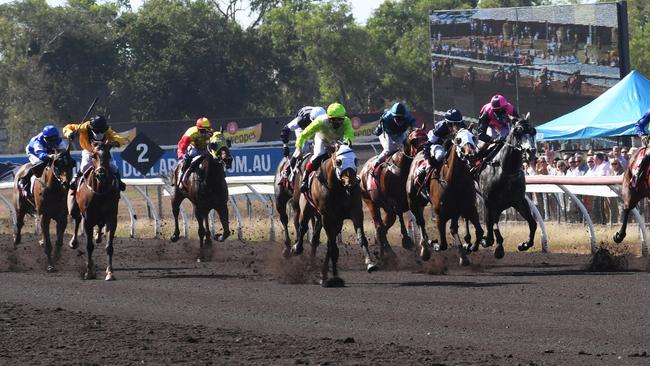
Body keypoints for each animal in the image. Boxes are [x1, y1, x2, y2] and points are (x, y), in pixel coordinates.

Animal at [69, 142, 121, 280]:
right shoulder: (87, 219)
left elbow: (109, 246)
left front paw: (110, 272)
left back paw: (98, 236)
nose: (101, 174)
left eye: (108, 155)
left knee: (99, 226)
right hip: (75, 208)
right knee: (76, 219)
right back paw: (74, 242)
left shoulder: (111, 217)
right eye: (94, 156)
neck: (100, 191)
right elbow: (89, 246)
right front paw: (89, 272)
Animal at [292, 143, 378, 286]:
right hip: (307, 208)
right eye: (339, 162)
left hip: (330, 220)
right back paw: (297, 249)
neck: (338, 189)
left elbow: (360, 238)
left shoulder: (355, 212)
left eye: (355, 160)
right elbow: (333, 247)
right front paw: (333, 277)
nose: (352, 183)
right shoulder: (327, 217)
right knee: (303, 227)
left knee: (316, 239)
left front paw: (370, 263)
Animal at [356, 129, 428, 260]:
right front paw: (407, 240)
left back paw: (384, 253)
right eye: (414, 140)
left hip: (388, 211)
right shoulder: (393, 200)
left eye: (426, 137)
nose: (423, 153)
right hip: (370, 202)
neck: (401, 169)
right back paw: (388, 254)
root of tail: (362, 171)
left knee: (382, 229)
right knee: (380, 227)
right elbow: (400, 213)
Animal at [404, 129, 480, 266]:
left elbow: (479, 232)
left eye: (473, 137)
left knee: (452, 229)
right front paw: (433, 243)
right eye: (458, 140)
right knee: (420, 222)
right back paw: (425, 249)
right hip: (413, 202)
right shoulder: (440, 215)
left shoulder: (469, 209)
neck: (455, 182)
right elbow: (443, 244)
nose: (472, 154)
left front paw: (469, 247)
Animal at [476, 116, 536, 258]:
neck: (507, 171)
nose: (531, 151)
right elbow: (492, 225)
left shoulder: (518, 201)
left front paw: (524, 244)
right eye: (517, 132)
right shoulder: (489, 202)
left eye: (533, 131)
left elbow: (533, 223)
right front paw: (492, 245)